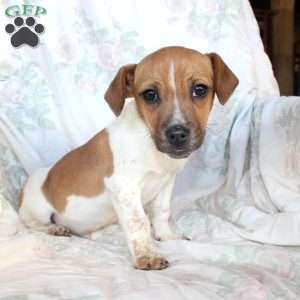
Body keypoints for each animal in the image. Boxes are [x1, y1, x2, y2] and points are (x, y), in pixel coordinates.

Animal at [19, 46, 239, 270]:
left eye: (200, 90)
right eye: (150, 95)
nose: (177, 134)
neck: (149, 143)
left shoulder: (165, 183)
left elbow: (161, 212)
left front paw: (166, 236)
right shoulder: (124, 188)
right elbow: (138, 222)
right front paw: (147, 256)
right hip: (38, 206)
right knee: (30, 222)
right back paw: (53, 228)